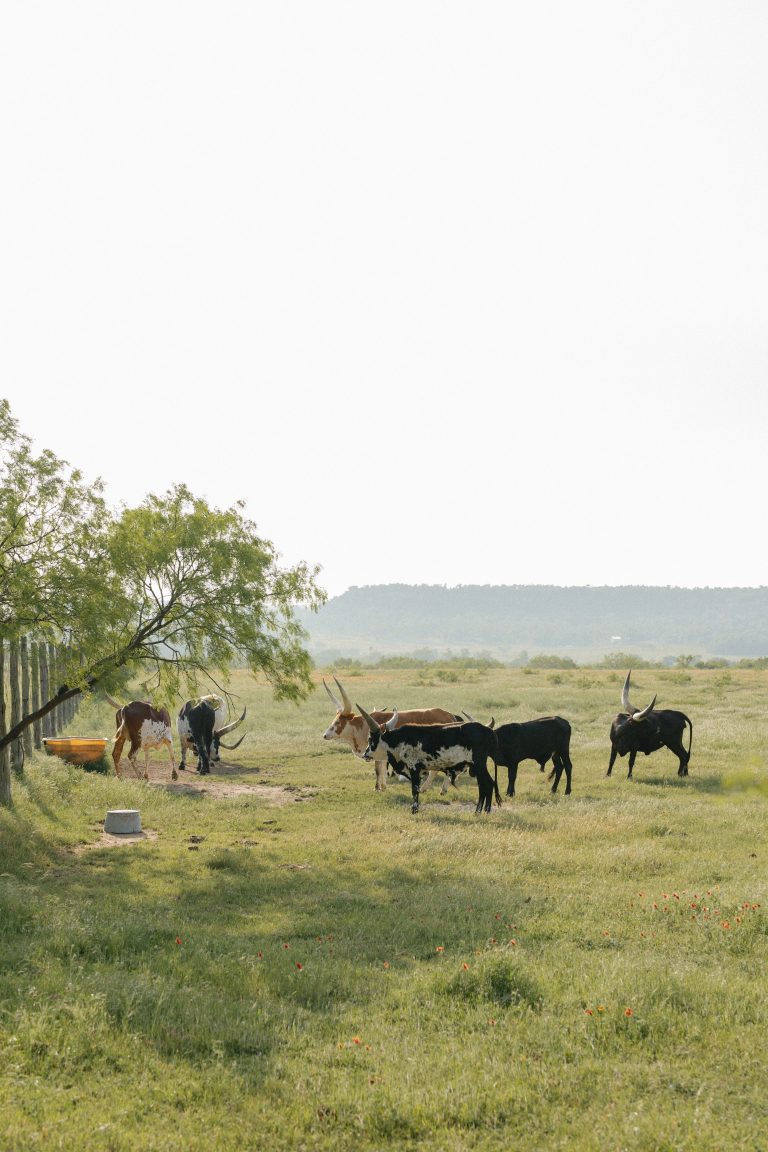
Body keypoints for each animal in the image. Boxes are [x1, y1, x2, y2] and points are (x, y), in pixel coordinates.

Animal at [322, 676, 461, 791]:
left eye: (338, 722)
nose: (325, 735)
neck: (362, 726)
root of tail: (449, 715)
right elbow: (382, 768)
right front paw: (383, 786)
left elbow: (378, 769)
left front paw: (377, 788)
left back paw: (428, 788)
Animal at [357, 704, 501, 815]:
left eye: (370, 739)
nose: (365, 755)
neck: (400, 740)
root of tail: (488, 730)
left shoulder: (414, 768)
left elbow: (415, 790)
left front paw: (414, 810)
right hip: (477, 766)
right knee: (485, 785)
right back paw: (482, 811)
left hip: (479, 764)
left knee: (488, 784)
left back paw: (482, 811)